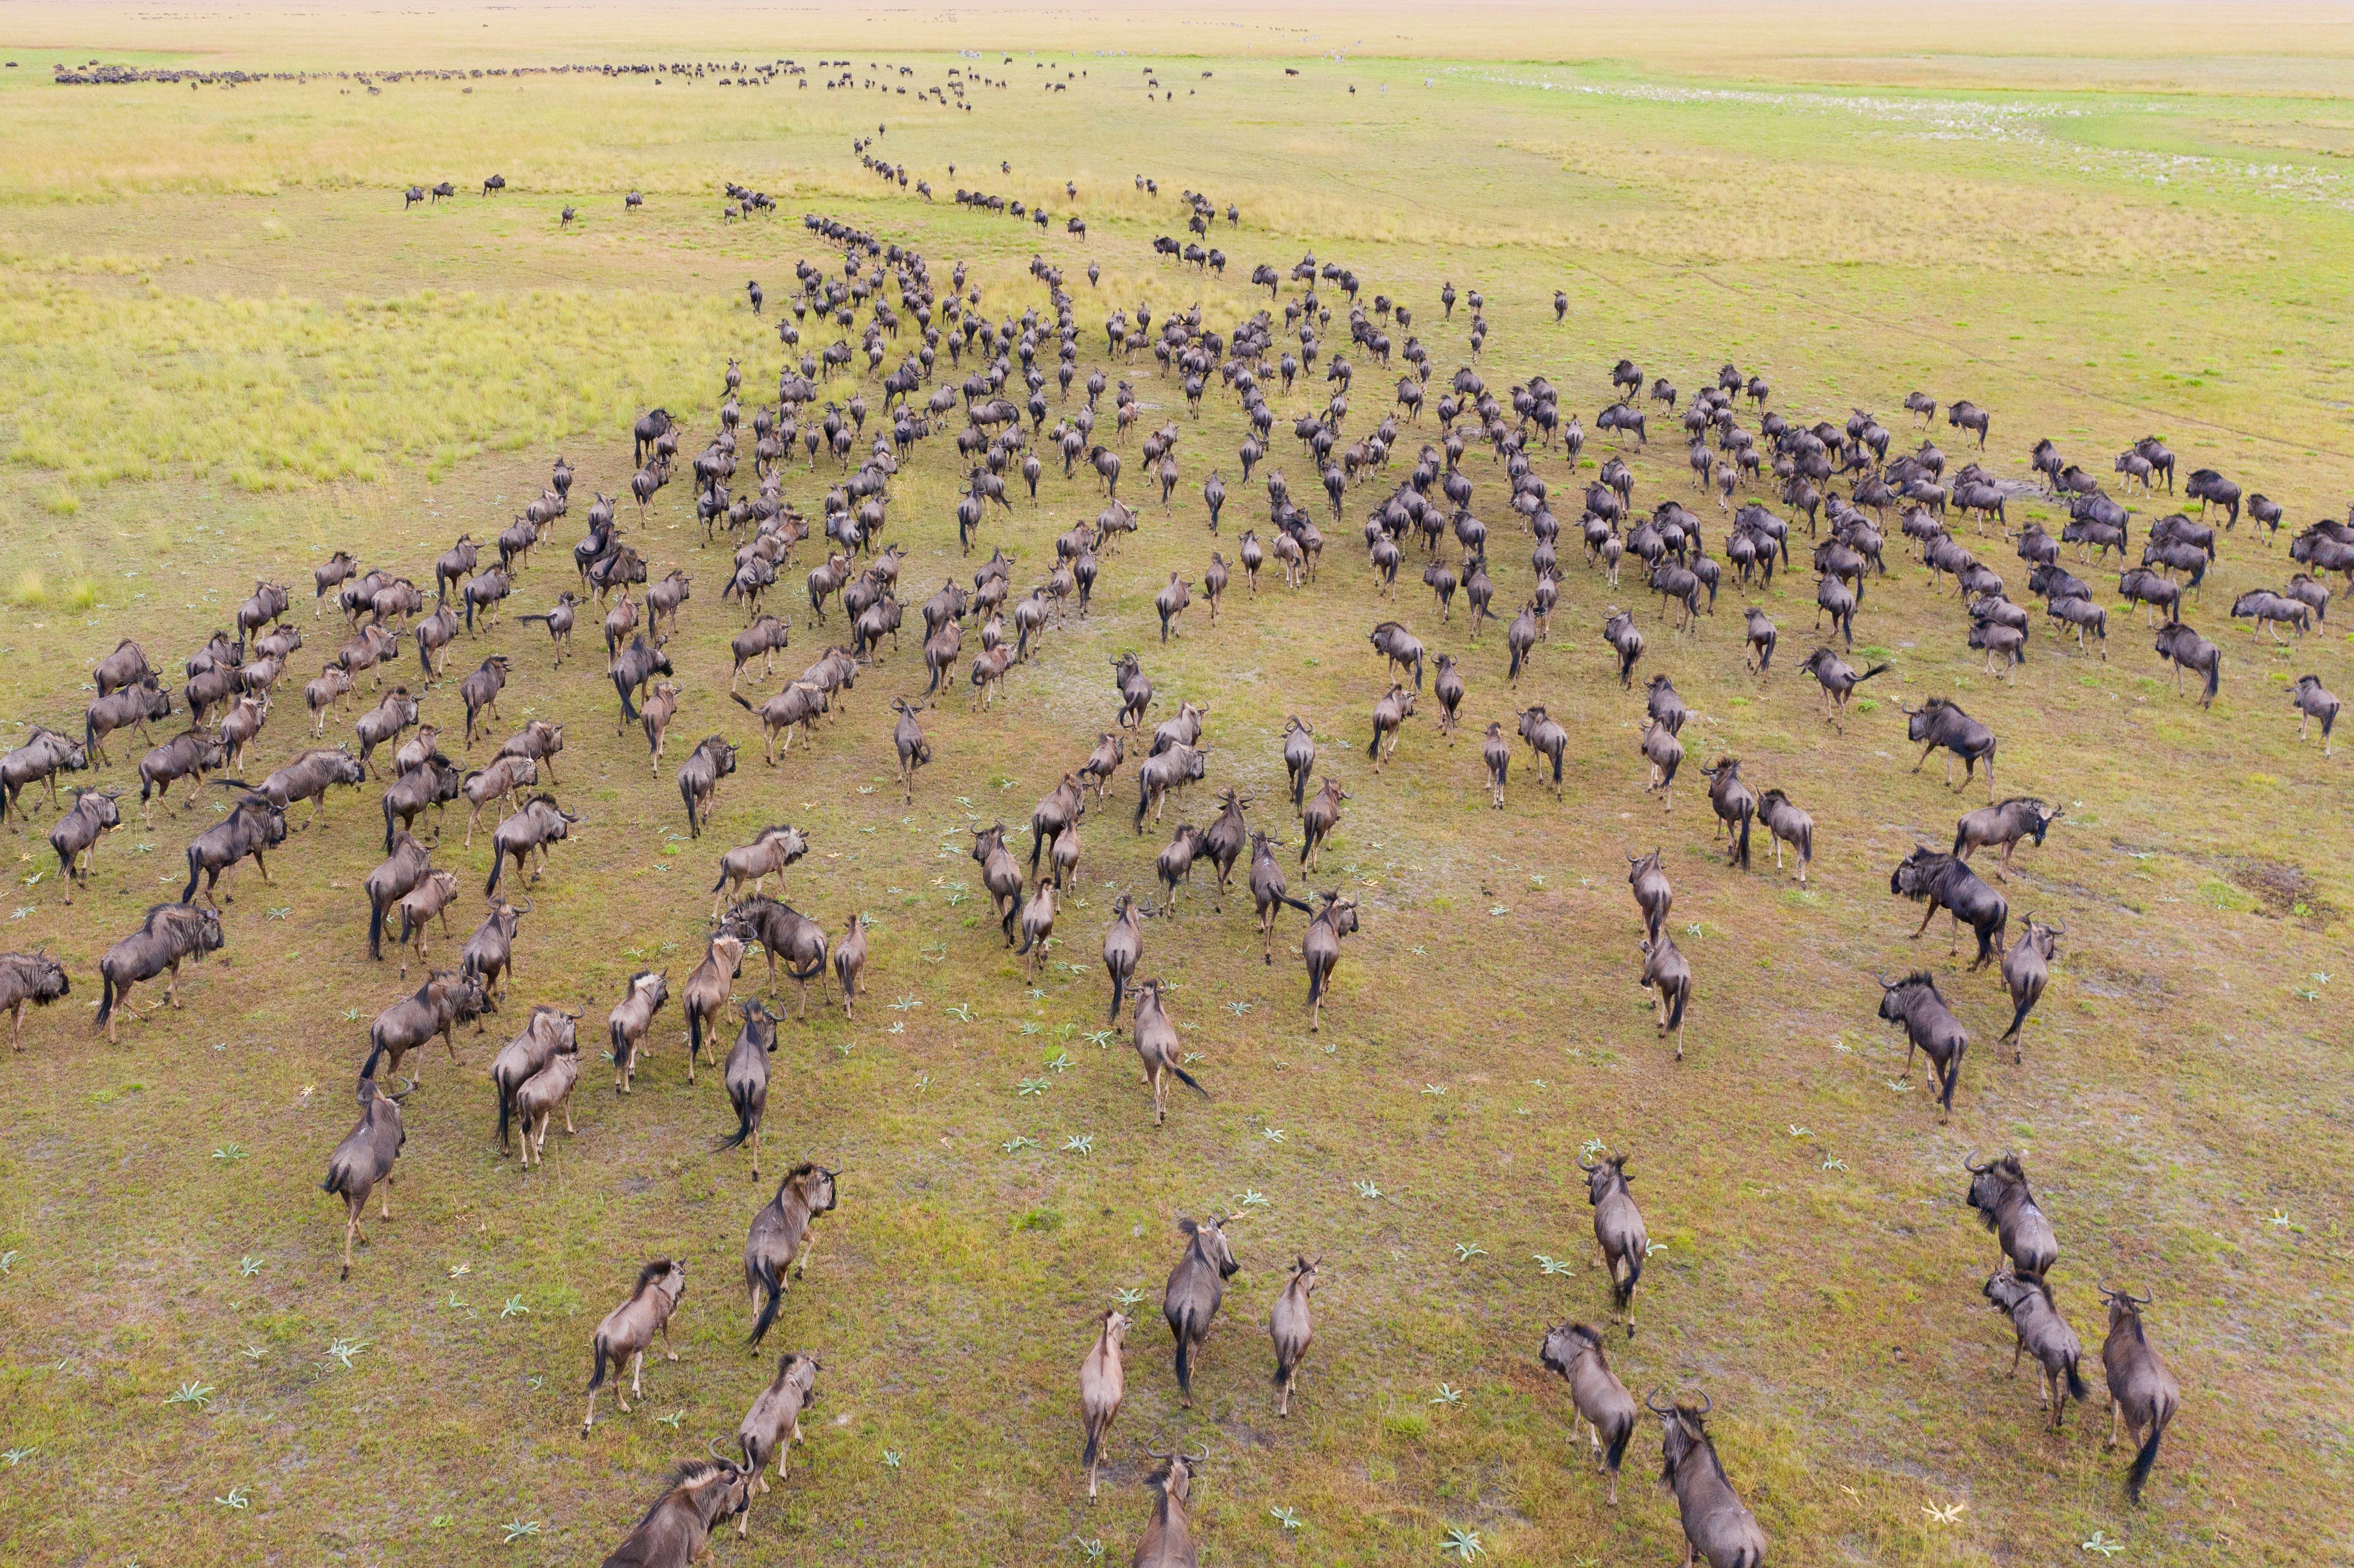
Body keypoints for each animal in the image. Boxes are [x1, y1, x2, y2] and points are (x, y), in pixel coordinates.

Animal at [583, 1259, 688, 1434]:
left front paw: (636, 1391)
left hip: (599, 1363)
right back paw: (625, 1407)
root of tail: (602, 1336)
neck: (662, 1289)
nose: (684, 1288)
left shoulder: (638, 1345)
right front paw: (673, 1356)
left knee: (594, 1386)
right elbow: (666, 1339)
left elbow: (639, 1361)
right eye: (682, 1272)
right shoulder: (663, 1322)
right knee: (613, 1383)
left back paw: (587, 1426)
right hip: (620, 1361)